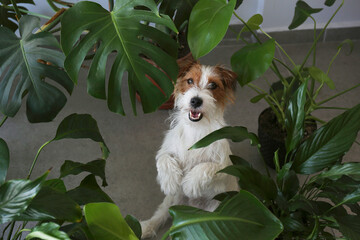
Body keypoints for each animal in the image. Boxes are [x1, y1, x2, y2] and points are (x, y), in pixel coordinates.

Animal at [141, 57, 239, 238]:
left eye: (213, 85)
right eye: (190, 81)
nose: (196, 100)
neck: (196, 129)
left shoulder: (224, 165)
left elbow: (206, 167)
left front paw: (190, 184)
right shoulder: (166, 150)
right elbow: (164, 160)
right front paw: (170, 181)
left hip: (217, 214)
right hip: (171, 201)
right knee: (160, 214)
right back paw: (145, 227)